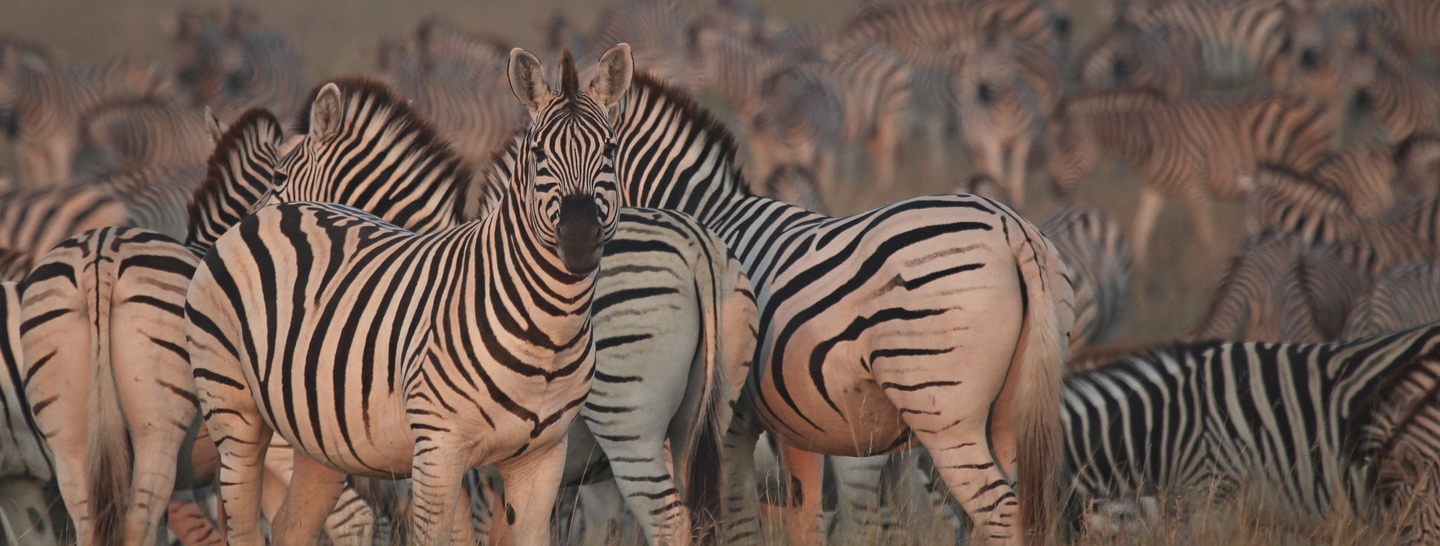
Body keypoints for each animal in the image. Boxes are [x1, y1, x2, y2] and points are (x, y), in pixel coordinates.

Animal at [0, 44, 172, 187]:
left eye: (9, 85)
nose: (5, 122)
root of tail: (143, 62)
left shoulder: (60, 147)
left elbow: (60, 179)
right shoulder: (30, 150)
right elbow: (38, 183)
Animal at [183, 44, 631, 544]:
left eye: (610, 150)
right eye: (538, 154)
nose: (579, 239)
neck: (547, 331)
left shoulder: (542, 458)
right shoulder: (440, 451)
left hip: (317, 439)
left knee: (289, 525)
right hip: (234, 410)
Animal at [528, 70, 1075, 545]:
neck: (705, 215)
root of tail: (1013, 229)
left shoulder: (732, 421)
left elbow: (736, 521)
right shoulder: (798, 428)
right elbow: (804, 518)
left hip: (942, 405)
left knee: (996, 510)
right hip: (1013, 408)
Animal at [1048, 89, 1337, 262]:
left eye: (1068, 147)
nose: (1054, 188)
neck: (1148, 142)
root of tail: (1314, 105)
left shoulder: (1194, 187)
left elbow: (1205, 233)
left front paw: (1211, 266)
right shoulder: (1153, 190)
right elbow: (1141, 229)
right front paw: (1140, 274)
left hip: (1307, 165)